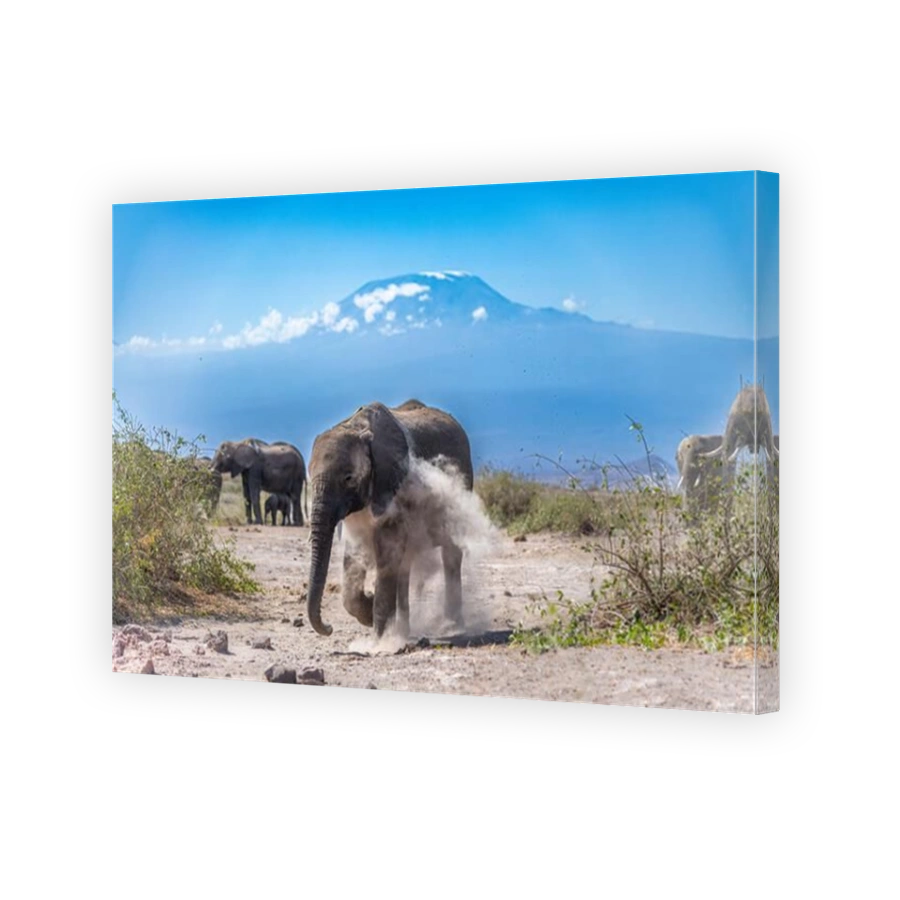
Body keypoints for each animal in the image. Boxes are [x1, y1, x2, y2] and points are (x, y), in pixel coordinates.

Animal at [305, 398, 474, 640]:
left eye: (348, 478)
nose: (329, 628)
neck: (357, 427)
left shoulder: (392, 487)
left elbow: (387, 551)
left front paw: (378, 639)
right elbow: (355, 554)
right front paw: (369, 612)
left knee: (450, 554)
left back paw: (451, 627)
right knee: (405, 565)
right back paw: (402, 631)